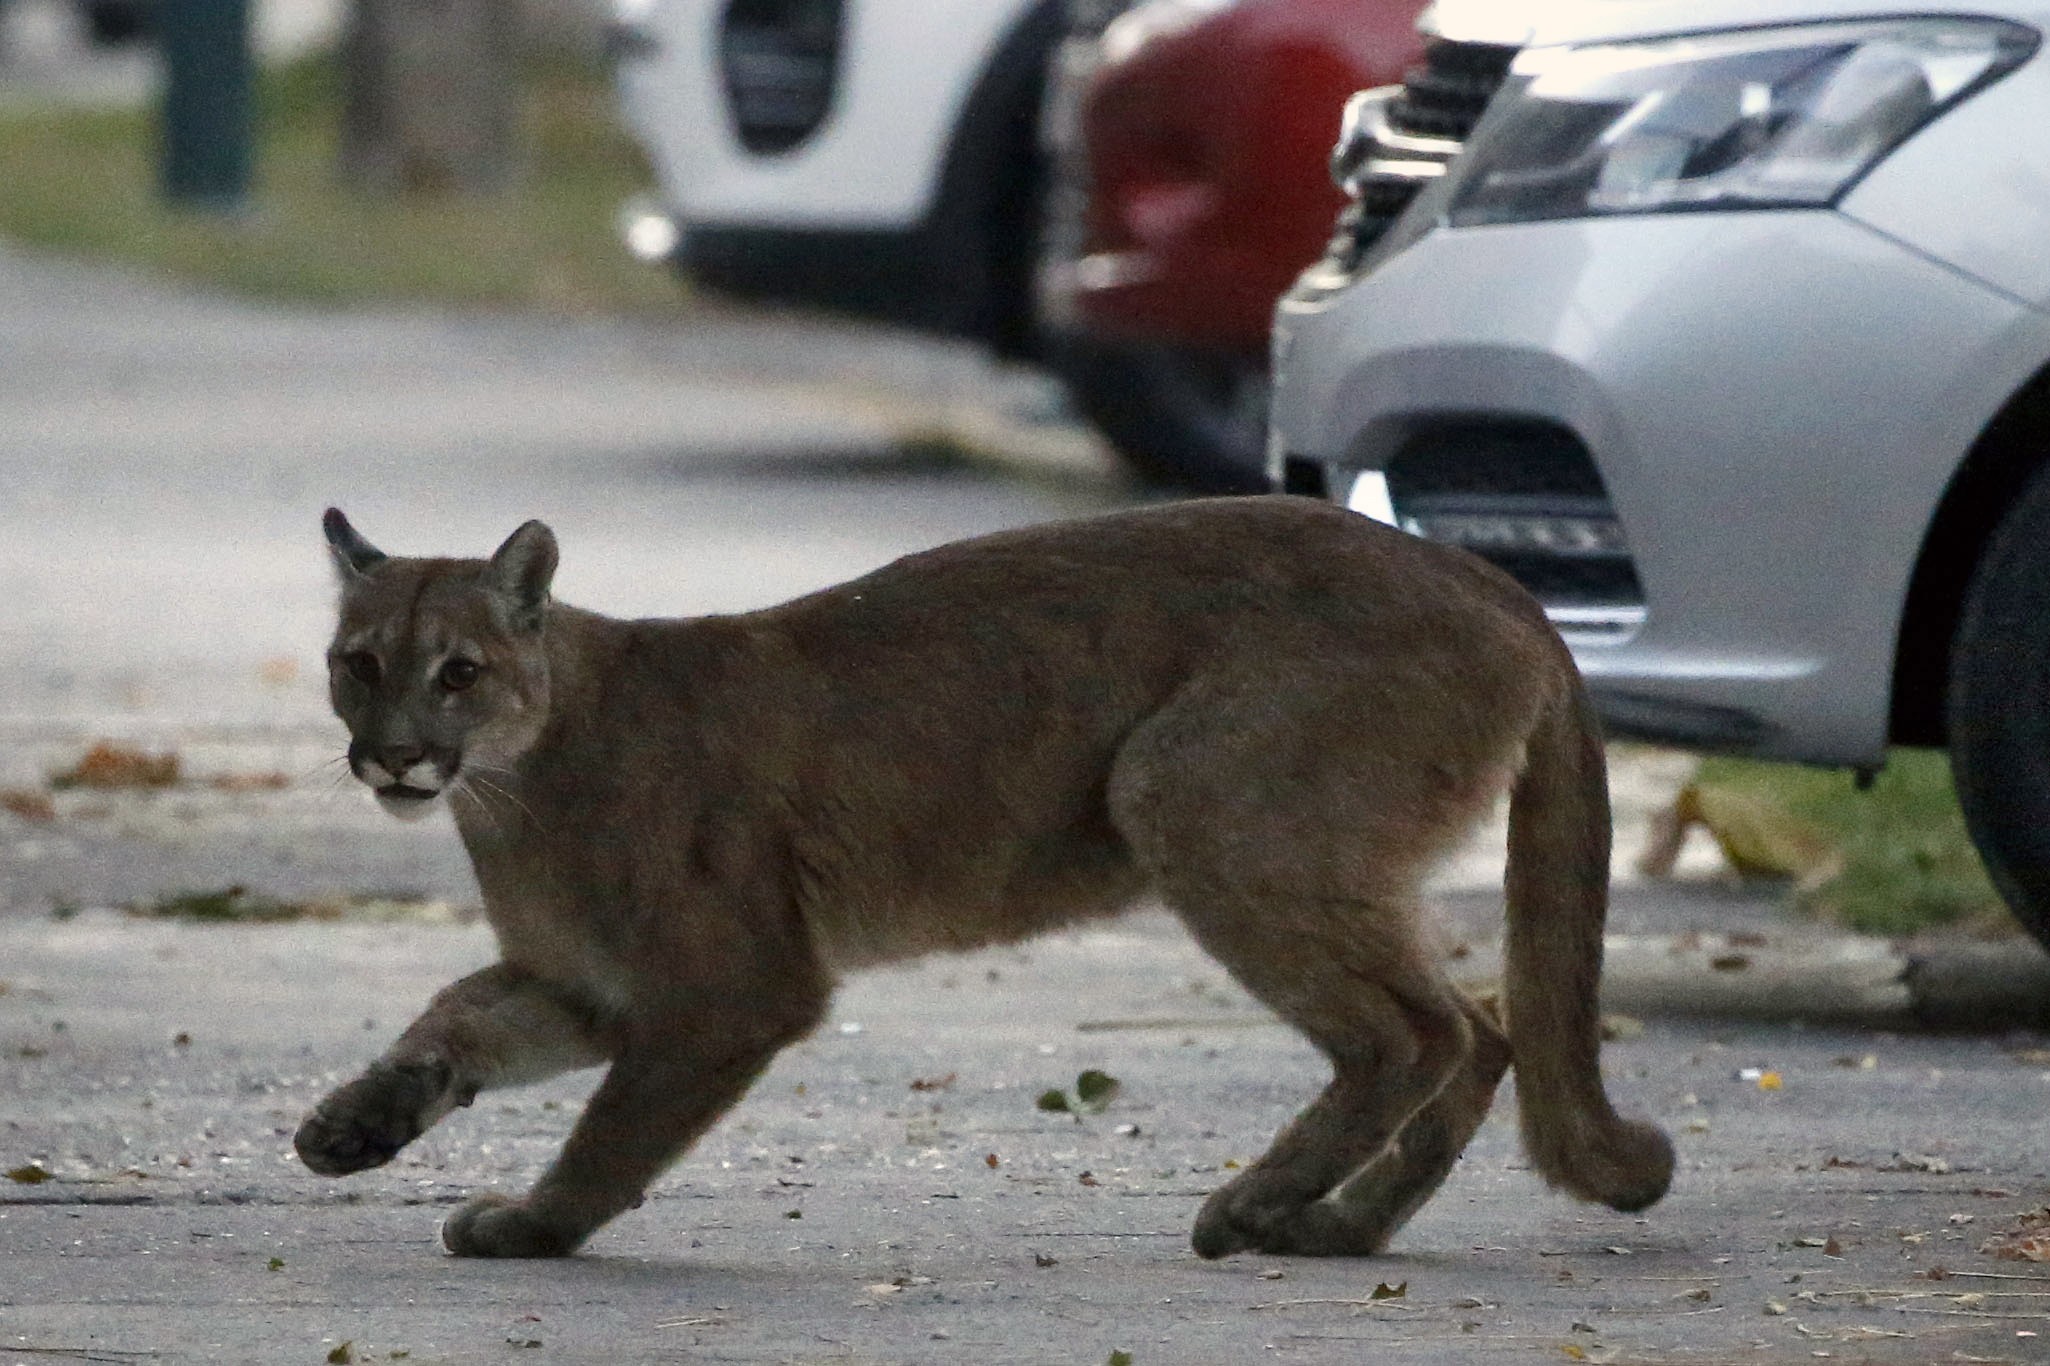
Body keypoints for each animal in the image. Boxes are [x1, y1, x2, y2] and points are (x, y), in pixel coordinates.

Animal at [297, 498, 1672, 1255]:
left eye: (458, 671)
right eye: (358, 662)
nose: (393, 753)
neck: (512, 785)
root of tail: (1493, 578)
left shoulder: (731, 988)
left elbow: (614, 1128)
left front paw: (537, 1225)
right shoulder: (590, 982)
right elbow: (456, 1016)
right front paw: (356, 1123)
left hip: (1188, 792)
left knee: (1412, 1032)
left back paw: (1256, 1207)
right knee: (1485, 1027)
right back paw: (1337, 1228)